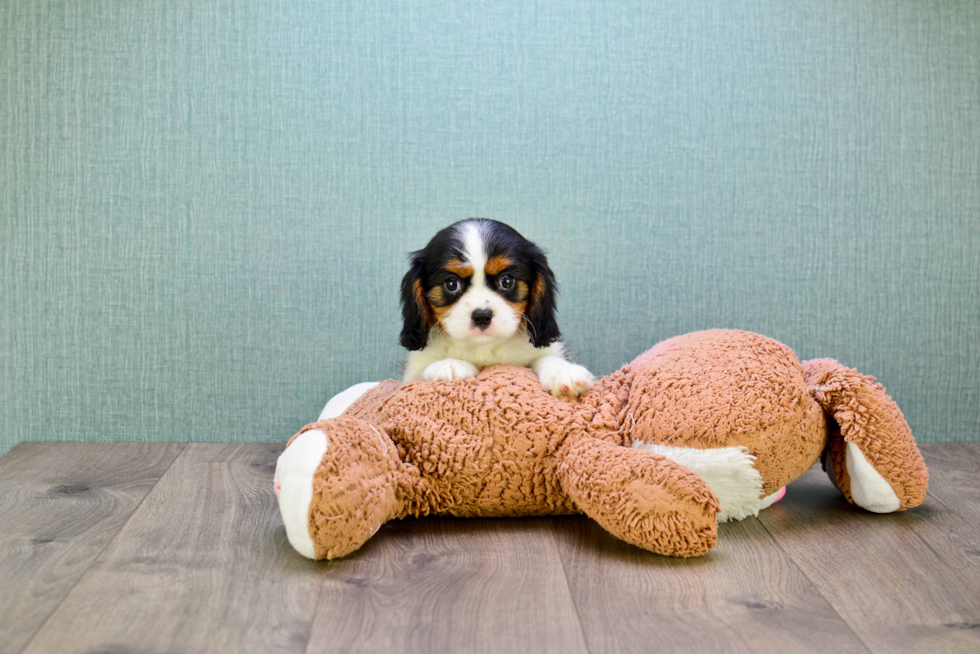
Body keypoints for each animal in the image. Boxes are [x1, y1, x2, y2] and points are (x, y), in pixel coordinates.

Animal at [400, 219, 596, 400]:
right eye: (451, 284)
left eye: (507, 281)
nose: (482, 316)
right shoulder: (413, 370)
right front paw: (448, 364)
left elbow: (546, 356)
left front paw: (562, 371)